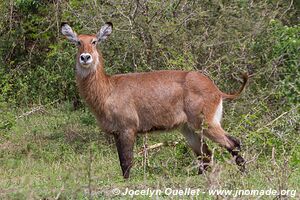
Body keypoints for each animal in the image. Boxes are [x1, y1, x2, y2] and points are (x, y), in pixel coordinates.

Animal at [61, 22, 248, 180]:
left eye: (94, 41)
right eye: (78, 42)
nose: (85, 57)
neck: (108, 89)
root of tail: (216, 90)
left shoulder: (128, 129)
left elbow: (126, 161)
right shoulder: (116, 132)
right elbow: (121, 160)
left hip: (206, 123)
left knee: (233, 143)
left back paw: (243, 174)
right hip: (188, 129)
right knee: (205, 154)